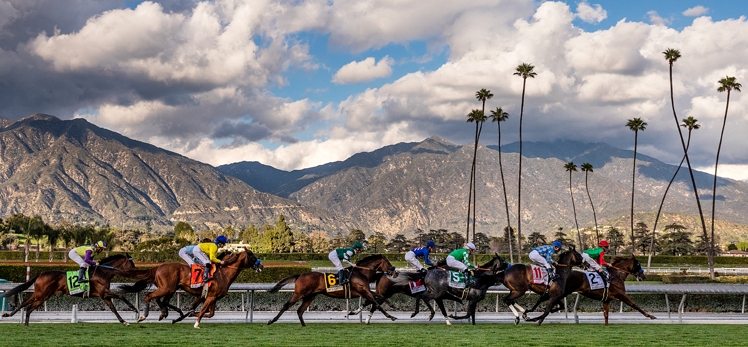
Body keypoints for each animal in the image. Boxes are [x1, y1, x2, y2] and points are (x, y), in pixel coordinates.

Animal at [1, 256, 140, 326]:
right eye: (131, 263)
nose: (136, 271)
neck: (103, 272)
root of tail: (41, 274)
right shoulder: (103, 292)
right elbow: (121, 296)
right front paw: (134, 309)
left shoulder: (104, 295)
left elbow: (113, 308)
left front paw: (124, 321)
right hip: (43, 296)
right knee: (29, 308)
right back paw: (26, 325)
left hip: (38, 294)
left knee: (24, 303)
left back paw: (9, 315)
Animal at [120, 249, 262, 328]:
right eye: (253, 256)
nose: (261, 267)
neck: (223, 274)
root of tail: (158, 267)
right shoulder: (210, 296)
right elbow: (203, 311)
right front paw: (196, 323)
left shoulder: (211, 297)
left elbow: (209, 313)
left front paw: (186, 315)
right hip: (167, 288)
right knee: (149, 296)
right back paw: (143, 316)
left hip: (170, 289)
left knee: (162, 301)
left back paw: (165, 313)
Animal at [268, 256, 398, 326]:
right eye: (388, 263)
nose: (396, 273)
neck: (361, 273)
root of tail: (300, 275)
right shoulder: (364, 291)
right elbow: (377, 304)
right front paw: (391, 316)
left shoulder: (365, 291)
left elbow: (381, 297)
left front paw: (393, 306)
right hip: (299, 294)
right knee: (286, 306)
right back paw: (271, 320)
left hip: (309, 296)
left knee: (300, 310)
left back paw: (304, 326)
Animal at [520, 256, 656, 326]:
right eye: (638, 264)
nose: (643, 277)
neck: (616, 276)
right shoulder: (621, 295)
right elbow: (635, 305)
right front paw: (650, 316)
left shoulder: (607, 299)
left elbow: (606, 315)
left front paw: (606, 326)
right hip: (562, 292)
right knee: (548, 301)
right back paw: (533, 316)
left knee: (547, 300)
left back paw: (531, 315)